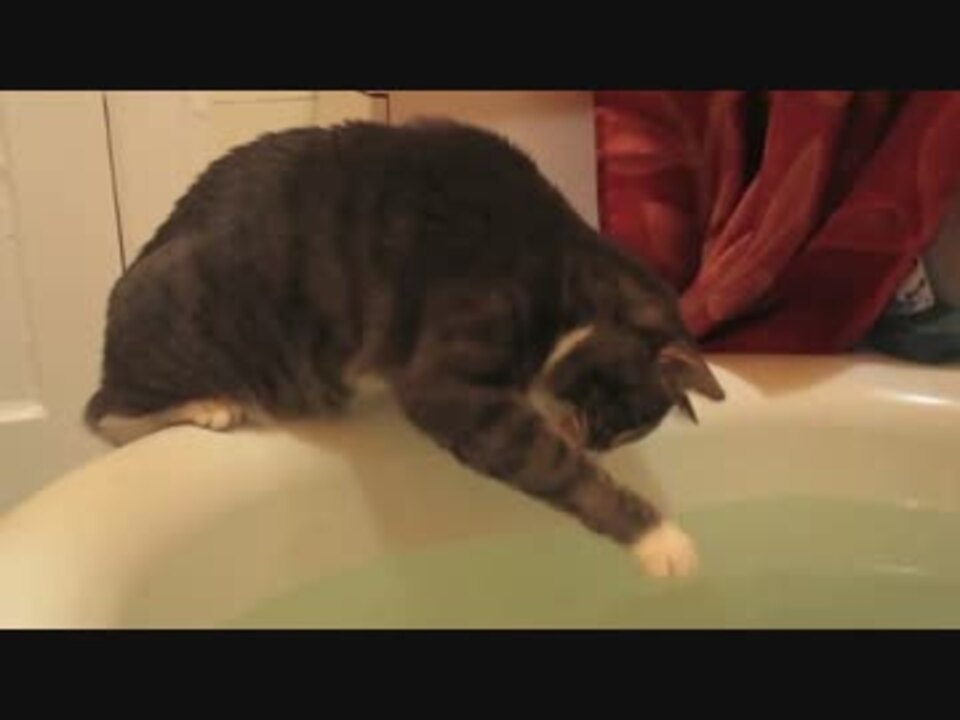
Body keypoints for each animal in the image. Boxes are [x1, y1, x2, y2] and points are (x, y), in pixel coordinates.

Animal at [84, 118, 726, 578]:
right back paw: (210, 405)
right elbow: (557, 467)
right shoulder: (450, 383)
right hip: (186, 316)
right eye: (616, 417)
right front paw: (661, 542)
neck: (563, 274)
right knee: (107, 415)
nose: (593, 442)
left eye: (622, 433)